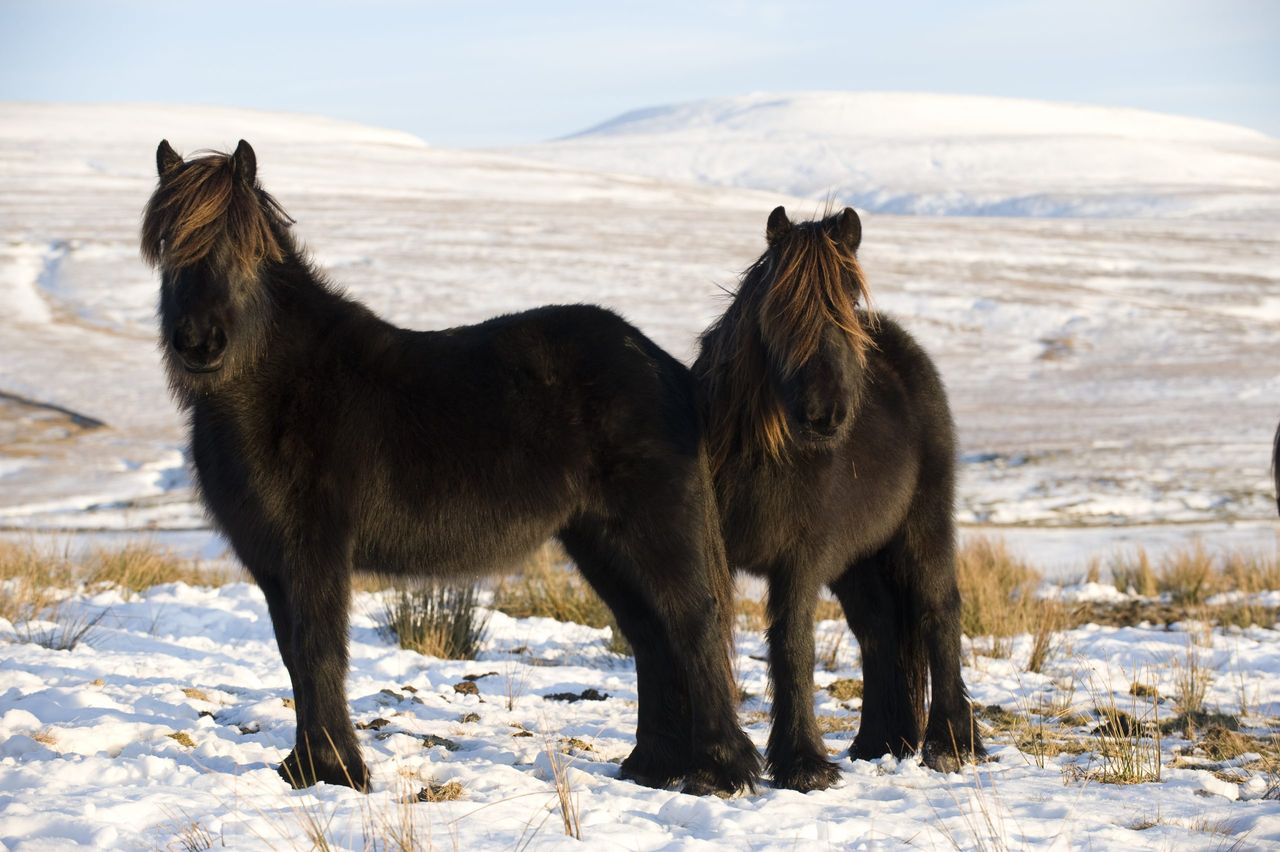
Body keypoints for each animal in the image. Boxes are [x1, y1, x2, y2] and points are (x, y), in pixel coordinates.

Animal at [140, 139, 757, 798]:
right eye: (168, 246)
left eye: (242, 248)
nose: (198, 343)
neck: (280, 387)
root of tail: (663, 365)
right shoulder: (272, 564)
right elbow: (294, 658)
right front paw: (303, 769)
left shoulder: (315, 554)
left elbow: (318, 652)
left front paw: (337, 772)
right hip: (598, 541)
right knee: (650, 635)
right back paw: (652, 767)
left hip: (652, 531)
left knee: (692, 626)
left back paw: (718, 771)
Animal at [696, 205, 983, 788]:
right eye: (780, 306)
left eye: (849, 299)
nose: (825, 415)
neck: (762, 451)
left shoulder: (799, 560)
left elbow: (793, 647)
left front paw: (803, 763)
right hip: (857, 559)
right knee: (878, 629)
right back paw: (878, 741)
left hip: (923, 528)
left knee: (938, 611)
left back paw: (948, 744)